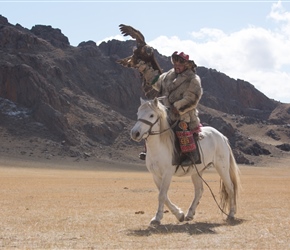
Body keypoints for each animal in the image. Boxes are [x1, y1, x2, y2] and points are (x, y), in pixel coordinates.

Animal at [131, 97, 240, 227]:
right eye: (138, 113)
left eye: (151, 115)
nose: (135, 133)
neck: (160, 146)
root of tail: (222, 137)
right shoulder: (156, 175)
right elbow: (164, 195)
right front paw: (179, 214)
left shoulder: (167, 173)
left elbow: (162, 195)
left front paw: (157, 218)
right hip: (197, 171)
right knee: (199, 190)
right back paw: (189, 214)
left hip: (222, 167)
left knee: (230, 188)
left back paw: (231, 214)